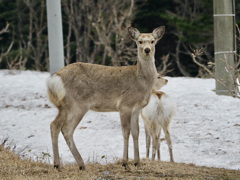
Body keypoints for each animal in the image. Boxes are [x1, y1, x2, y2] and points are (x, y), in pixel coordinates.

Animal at [46, 26, 165, 169]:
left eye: (152, 41)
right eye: (140, 41)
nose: (147, 50)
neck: (141, 82)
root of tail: (54, 79)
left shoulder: (136, 109)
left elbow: (136, 133)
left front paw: (137, 162)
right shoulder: (124, 105)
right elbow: (126, 132)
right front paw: (125, 162)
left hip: (63, 106)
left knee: (54, 125)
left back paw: (57, 165)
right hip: (77, 104)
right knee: (66, 129)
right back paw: (81, 164)